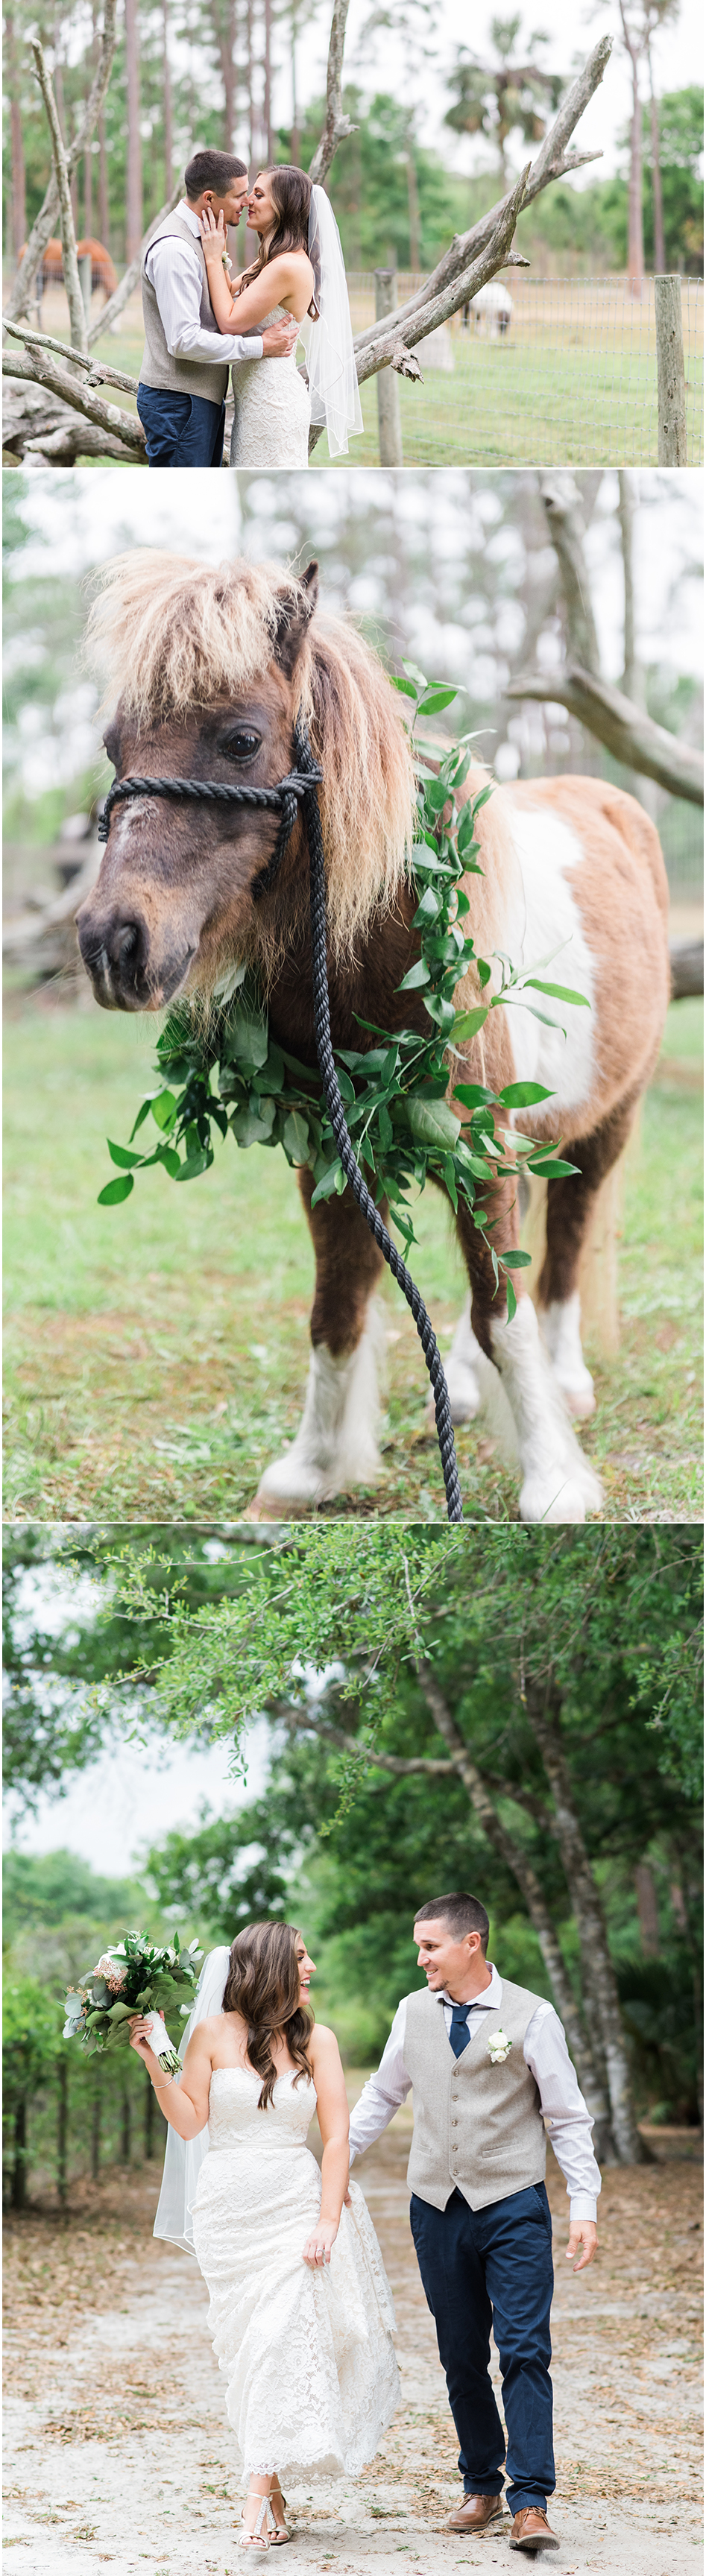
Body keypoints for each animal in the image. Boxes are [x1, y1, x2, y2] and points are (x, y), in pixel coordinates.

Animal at [74, 554, 669, 1515]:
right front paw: (311, 1470)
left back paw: (565, 1382)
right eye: (113, 747)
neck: (380, 945)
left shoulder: (479, 1139)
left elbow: (502, 1309)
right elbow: (338, 1306)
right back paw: (461, 1388)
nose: (113, 945)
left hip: (601, 1121)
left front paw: (550, 1481)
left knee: (562, 1251)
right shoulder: (329, 1146)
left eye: (241, 740)